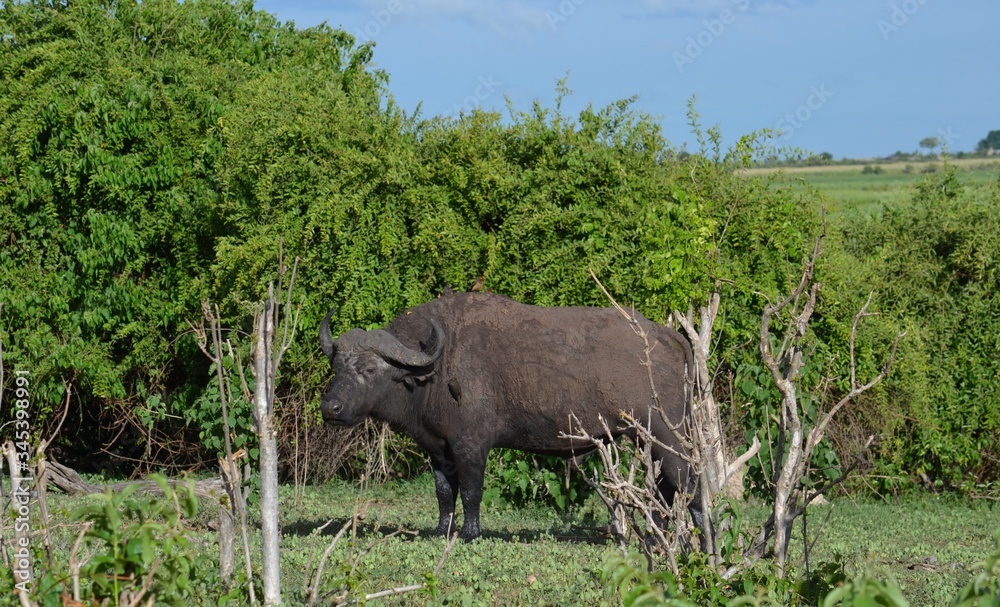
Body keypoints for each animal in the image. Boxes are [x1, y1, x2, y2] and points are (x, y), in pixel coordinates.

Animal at [320, 292, 695, 541]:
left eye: (369, 369)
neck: (435, 370)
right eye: (336, 366)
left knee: (690, 485)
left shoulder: (471, 445)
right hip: (649, 441)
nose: (330, 408)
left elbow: (471, 491)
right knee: (665, 493)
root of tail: (671, 338)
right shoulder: (438, 449)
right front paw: (441, 531)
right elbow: (444, 493)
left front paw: (470, 534)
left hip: (669, 438)